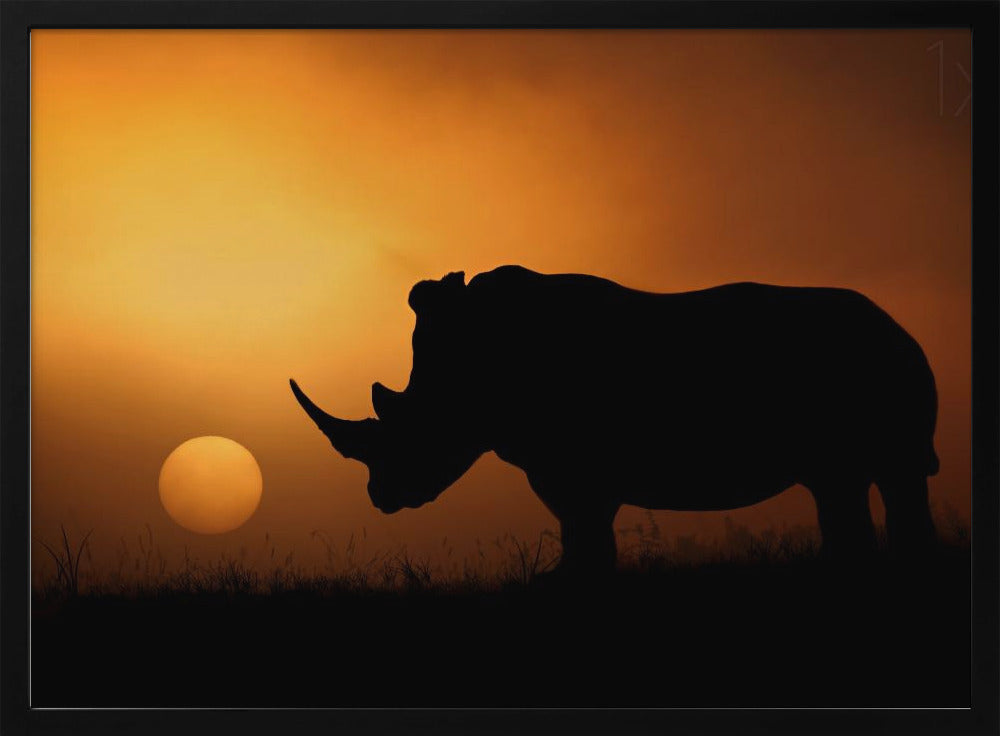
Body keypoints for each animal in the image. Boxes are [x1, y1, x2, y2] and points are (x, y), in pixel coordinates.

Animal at [291, 265, 938, 575]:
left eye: (411, 430)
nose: (380, 497)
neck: (467, 373)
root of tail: (900, 327)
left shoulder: (570, 464)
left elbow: (583, 524)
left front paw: (566, 582)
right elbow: (582, 527)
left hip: (877, 364)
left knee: (881, 475)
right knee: (846, 483)